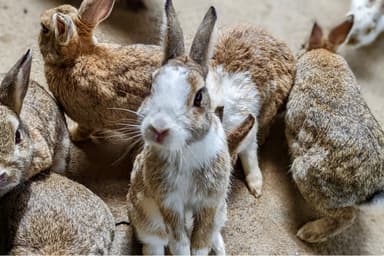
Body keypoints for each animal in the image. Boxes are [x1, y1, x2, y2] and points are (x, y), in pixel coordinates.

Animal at [126, 1, 255, 254]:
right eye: (151, 86)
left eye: (199, 97)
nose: (159, 128)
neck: (186, 148)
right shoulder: (169, 204)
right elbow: (180, 243)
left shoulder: (210, 203)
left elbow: (201, 242)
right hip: (146, 217)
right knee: (154, 242)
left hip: (219, 210)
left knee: (215, 233)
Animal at [284, 16, 384, 244]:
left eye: (302, 44)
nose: (298, 49)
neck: (324, 50)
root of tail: (372, 189)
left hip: (306, 175)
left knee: (347, 216)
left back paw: (309, 233)